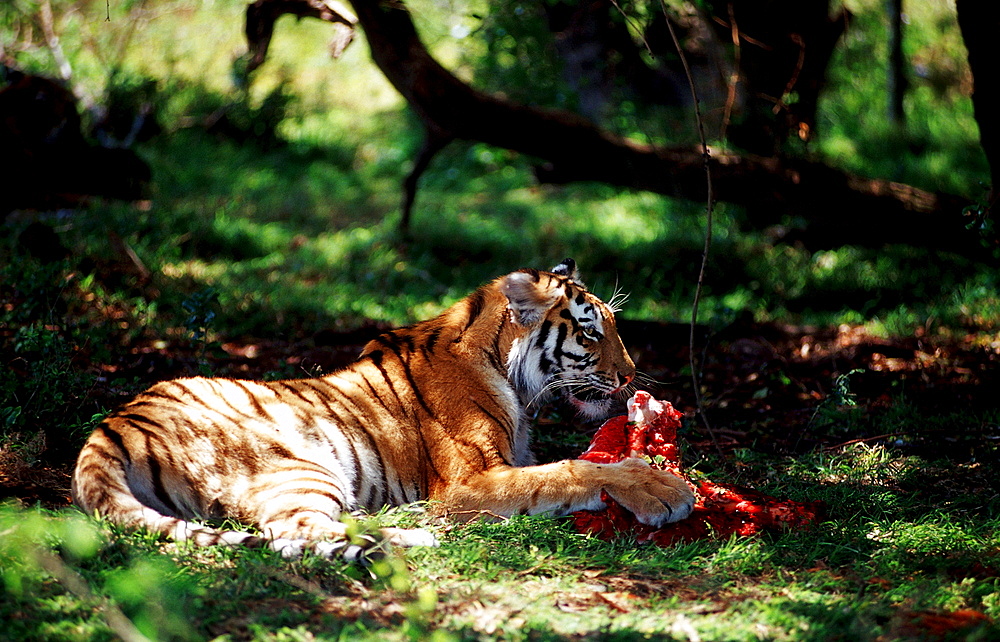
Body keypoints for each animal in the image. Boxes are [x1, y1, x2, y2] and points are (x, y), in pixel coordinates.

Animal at [72, 258, 696, 556]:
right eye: (591, 333)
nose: (630, 376)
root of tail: (113, 426)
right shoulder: (469, 480)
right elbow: (573, 470)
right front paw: (662, 487)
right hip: (297, 468)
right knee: (298, 535)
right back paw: (418, 535)